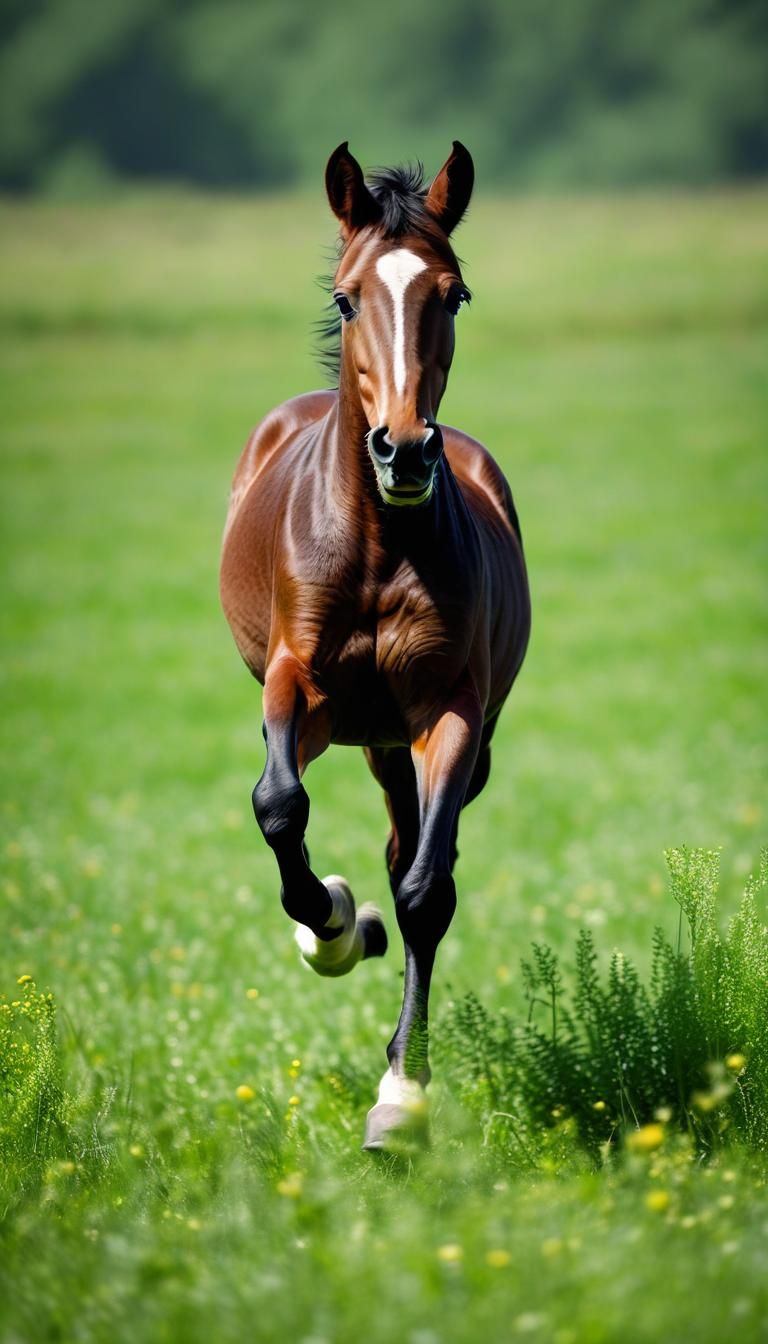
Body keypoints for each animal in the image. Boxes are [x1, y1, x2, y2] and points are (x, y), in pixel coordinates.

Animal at [220, 142, 530, 1150]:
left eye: (454, 294)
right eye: (349, 296)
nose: (404, 453)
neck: (379, 549)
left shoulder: (448, 714)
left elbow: (428, 890)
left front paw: (402, 1101)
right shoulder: (298, 685)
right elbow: (278, 804)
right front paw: (331, 925)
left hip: (413, 740)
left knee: (417, 856)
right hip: (365, 732)